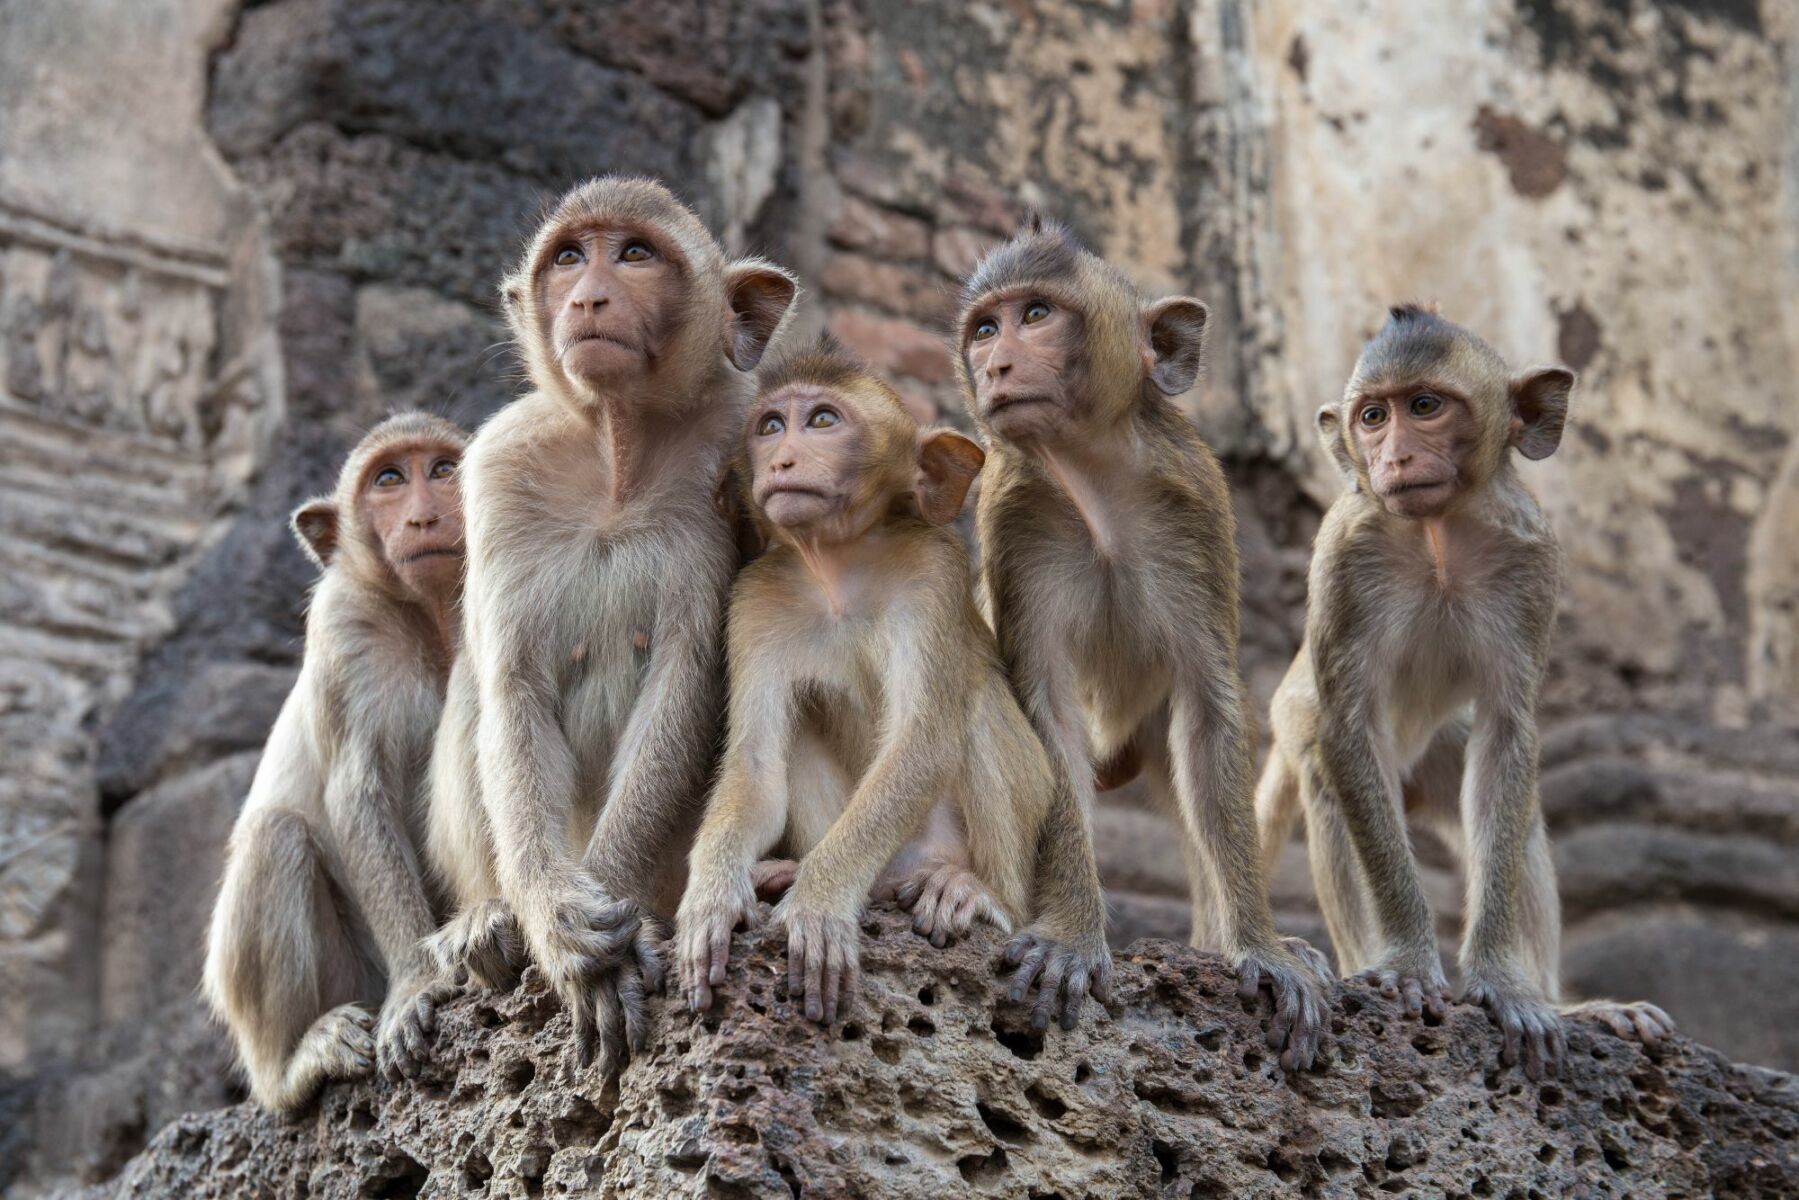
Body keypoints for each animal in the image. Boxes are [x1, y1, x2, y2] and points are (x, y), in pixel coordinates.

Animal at [205, 413, 471, 1115]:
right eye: (389, 479)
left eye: (442, 470)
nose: (426, 516)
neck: (433, 620)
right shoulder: (343, 624)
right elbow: (358, 793)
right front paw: (418, 984)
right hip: (346, 981)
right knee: (276, 837)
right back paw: (294, 1065)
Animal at [669, 341, 1050, 1029]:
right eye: (769, 426)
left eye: (822, 420)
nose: (782, 458)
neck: (836, 563)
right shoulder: (755, 598)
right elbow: (755, 765)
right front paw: (711, 896)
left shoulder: (933, 570)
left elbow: (921, 742)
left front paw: (820, 902)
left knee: (976, 707)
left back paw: (981, 895)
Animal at [957, 220, 1338, 1065]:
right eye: (985, 328)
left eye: (1035, 315)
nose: (994, 365)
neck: (1093, 481)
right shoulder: (1011, 516)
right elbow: (1046, 713)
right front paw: (1071, 934)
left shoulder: (1196, 507)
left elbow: (1210, 714)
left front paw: (1258, 946)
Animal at [1259, 307, 1676, 1079]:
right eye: (1372, 416)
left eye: (1424, 406)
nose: (1394, 458)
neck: (1436, 534)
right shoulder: (1341, 554)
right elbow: (1347, 727)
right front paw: (1403, 965)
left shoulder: (1535, 557)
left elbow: (1510, 734)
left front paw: (1503, 985)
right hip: (1304, 724)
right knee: (1326, 780)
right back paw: (1356, 963)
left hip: (1439, 749)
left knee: (1514, 810)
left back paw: (1567, 1004)